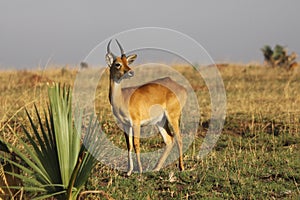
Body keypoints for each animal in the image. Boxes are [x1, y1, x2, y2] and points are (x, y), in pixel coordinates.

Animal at [106, 39, 188, 175]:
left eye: (127, 62)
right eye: (117, 64)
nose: (131, 72)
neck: (122, 99)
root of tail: (180, 87)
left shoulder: (136, 123)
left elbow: (136, 144)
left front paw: (139, 170)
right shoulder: (125, 125)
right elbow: (128, 145)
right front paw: (128, 171)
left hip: (173, 117)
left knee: (179, 138)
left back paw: (181, 168)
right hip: (160, 121)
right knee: (169, 140)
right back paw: (156, 168)